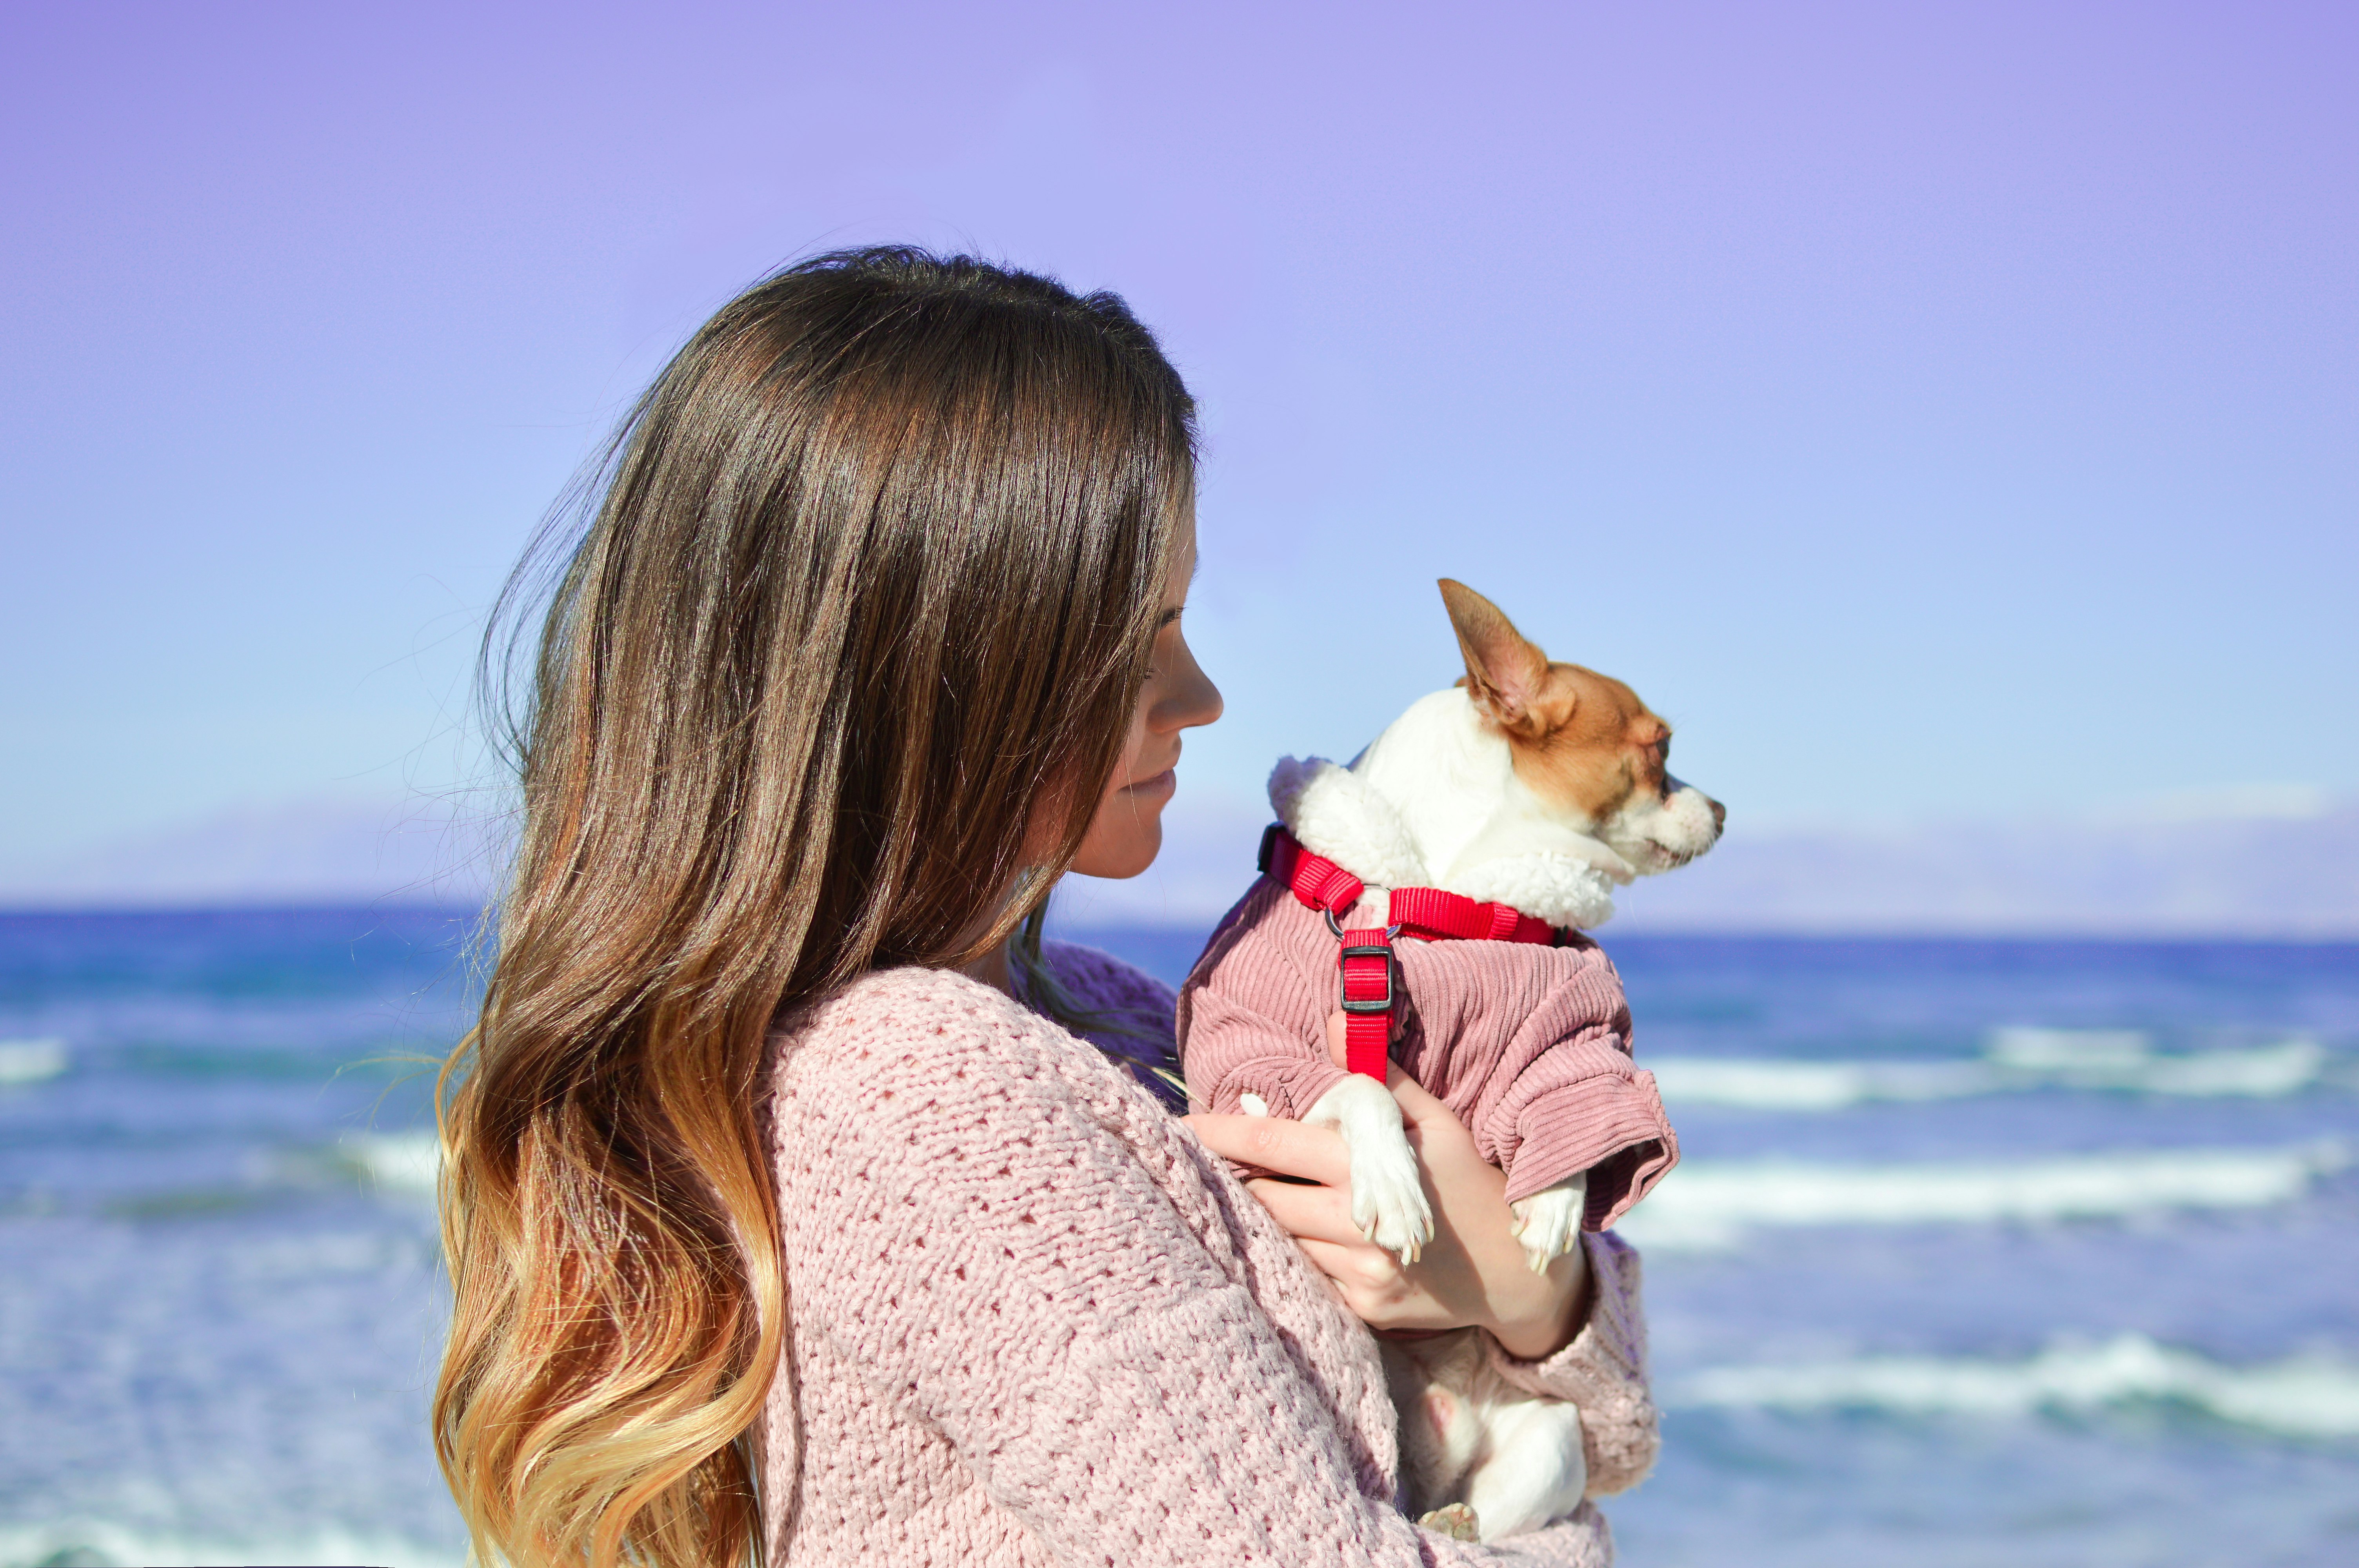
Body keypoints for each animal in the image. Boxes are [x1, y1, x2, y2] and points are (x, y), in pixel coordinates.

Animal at [1174, 577, 1717, 1537]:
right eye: (1660, 749)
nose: (1722, 810)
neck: (1441, 899)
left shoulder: (1568, 1037)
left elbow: (1567, 1110)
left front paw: (1552, 1201)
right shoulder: (1249, 1049)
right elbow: (1357, 1090)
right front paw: (1392, 1181)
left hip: (1547, 1439)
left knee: (1491, 1522)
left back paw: (1454, 1522)